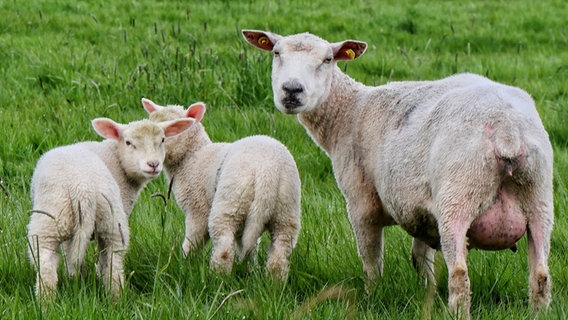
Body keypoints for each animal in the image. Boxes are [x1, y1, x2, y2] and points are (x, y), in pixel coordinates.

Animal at [27, 116, 193, 298]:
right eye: (128, 142)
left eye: (162, 140)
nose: (153, 164)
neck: (117, 159)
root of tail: (83, 189)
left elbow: (72, 254)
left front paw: (78, 276)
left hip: (64, 217)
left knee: (49, 262)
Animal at [141, 97, 302, 280]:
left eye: (172, 130)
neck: (191, 158)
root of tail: (268, 171)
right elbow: (248, 246)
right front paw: (248, 267)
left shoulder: (197, 209)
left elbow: (193, 240)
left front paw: (183, 262)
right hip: (286, 208)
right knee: (280, 251)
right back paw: (273, 282)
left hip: (231, 201)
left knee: (224, 246)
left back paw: (217, 277)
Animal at [242, 29, 552, 318]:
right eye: (276, 53)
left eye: (327, 59)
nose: (292, 90)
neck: (349, 112)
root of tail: (507, 130)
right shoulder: (423, 212)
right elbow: (421, 258)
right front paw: (427, 294)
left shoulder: (362, 202)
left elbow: (371, 260)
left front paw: (372, 297)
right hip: (539, 199)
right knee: (540, 275)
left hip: (459, 195)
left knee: (460, 275)